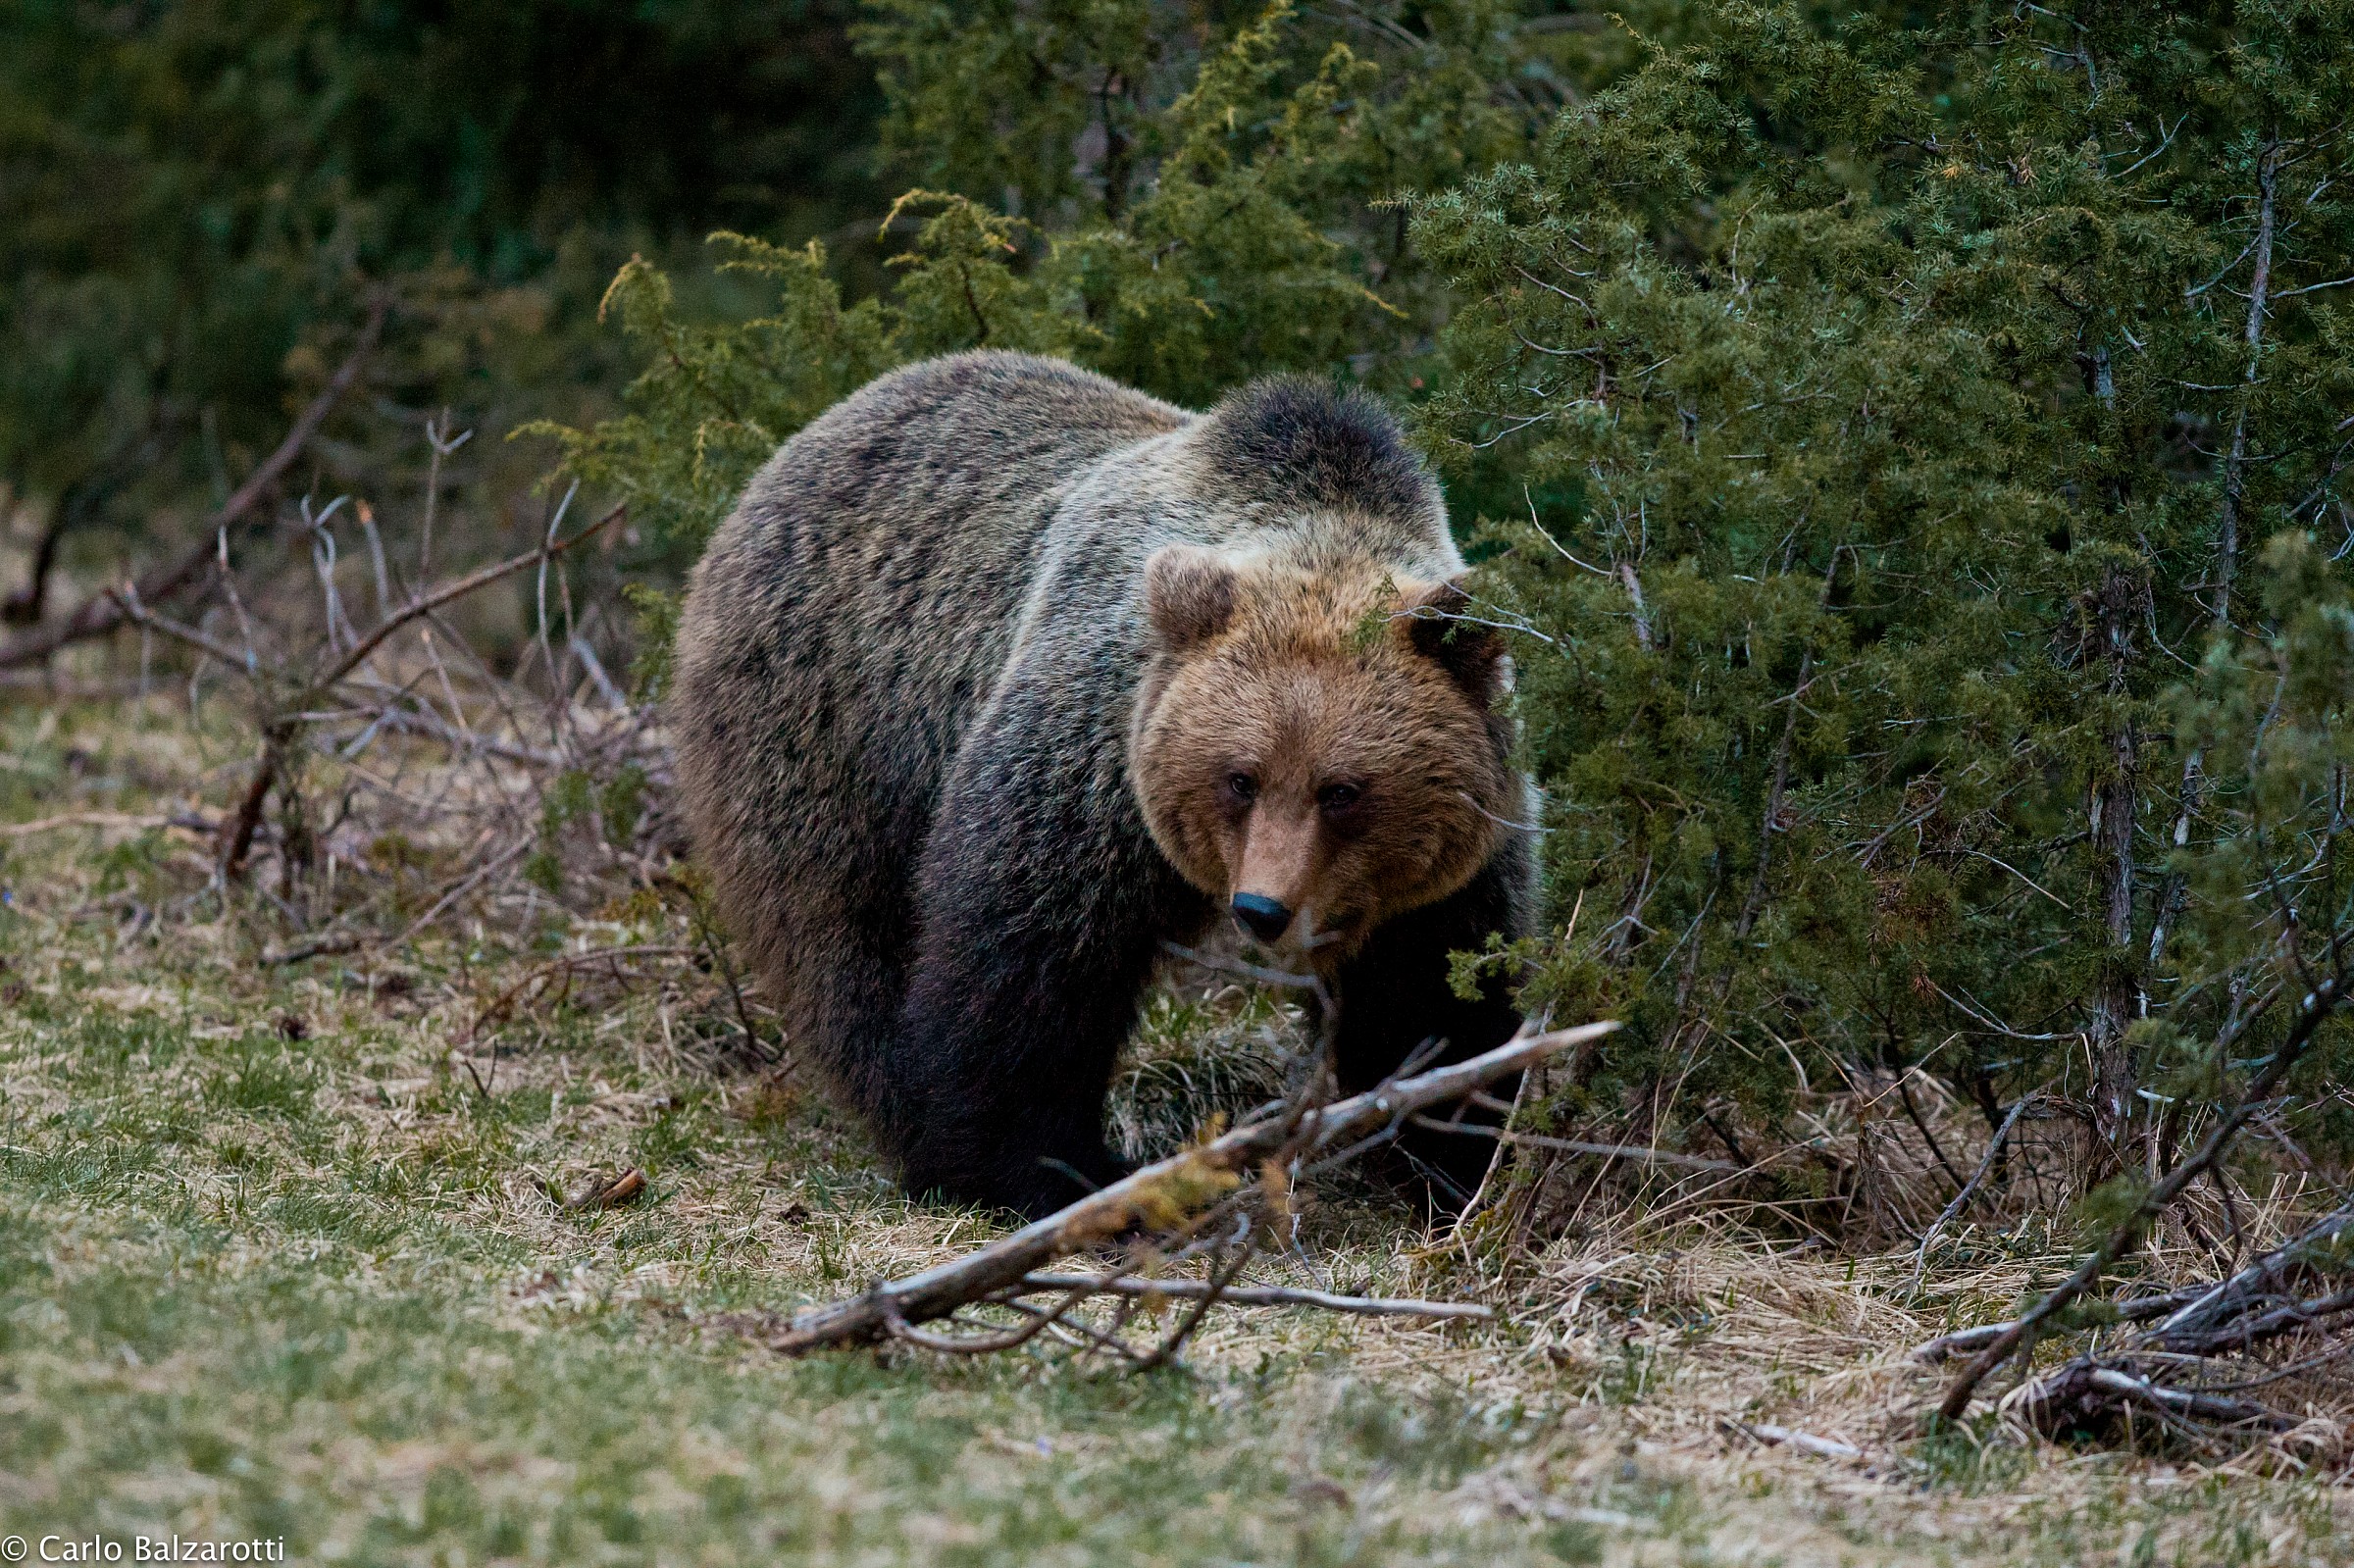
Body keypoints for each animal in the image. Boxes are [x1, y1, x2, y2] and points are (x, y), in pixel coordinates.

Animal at [671, 349, 1534, 1218]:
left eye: (1344, 790)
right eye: (1241, 778)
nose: (1262, 909)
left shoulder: (1444, 871)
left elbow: (1436, 994)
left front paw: (1455, 1150)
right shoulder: (1091, 756)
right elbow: (1023, 961)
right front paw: (1045, 1168)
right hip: (833, 735)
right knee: (848, 945)